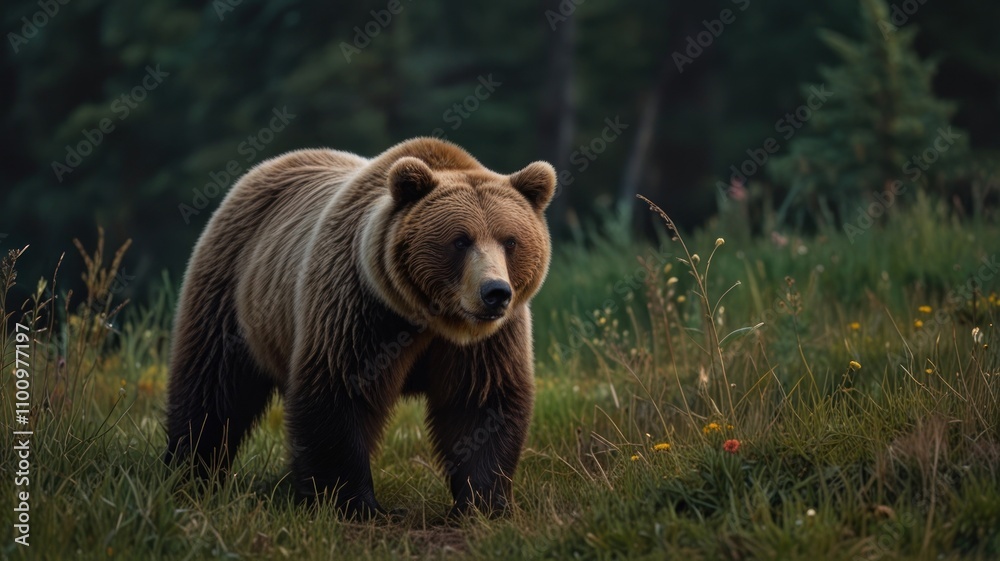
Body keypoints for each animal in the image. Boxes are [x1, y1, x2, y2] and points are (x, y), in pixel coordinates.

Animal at [164, 137, 556, 519]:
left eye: (510, 240)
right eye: (460, 240)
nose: (495, 292)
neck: (429, 316)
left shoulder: (486, 341)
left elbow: (480, 401)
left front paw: (483, 503)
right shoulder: (359, 309)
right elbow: (339, 394)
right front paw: (354, 503)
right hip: (232, 293)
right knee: (213, 385)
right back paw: (189, 472)